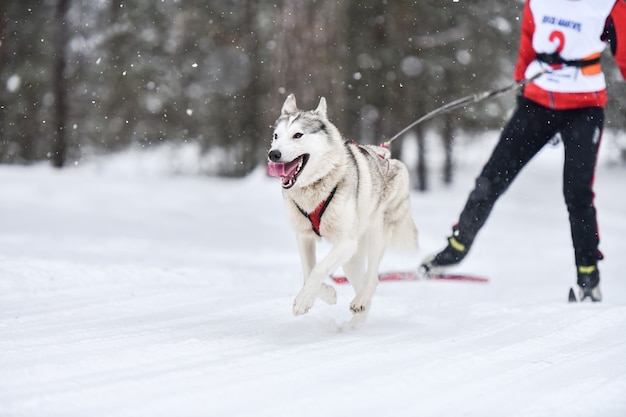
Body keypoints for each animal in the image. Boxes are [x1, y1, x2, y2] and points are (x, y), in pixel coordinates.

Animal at [266, 93, 416, 316]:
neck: (315, 185)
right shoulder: (303, 237)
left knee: (373, 278)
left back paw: (361, 300)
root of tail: (391, 159)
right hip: (352, 260)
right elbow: (308, 272)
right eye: (276, 136)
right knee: (362, 283)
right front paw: (326, 294)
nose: (273, 154)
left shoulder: (346, 242)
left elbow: (319, 268)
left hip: (374, 236)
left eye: (298, 135)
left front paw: (304, 300)